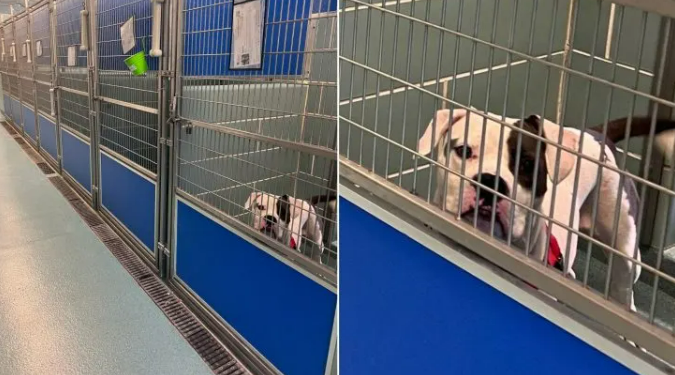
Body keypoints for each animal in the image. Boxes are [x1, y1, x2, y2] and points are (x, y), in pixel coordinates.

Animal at [418, 108, 675, 312]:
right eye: (463, 151)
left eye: (527, 164)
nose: (491, 182)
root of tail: (595, 135)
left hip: (625, 249)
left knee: (624, 289)